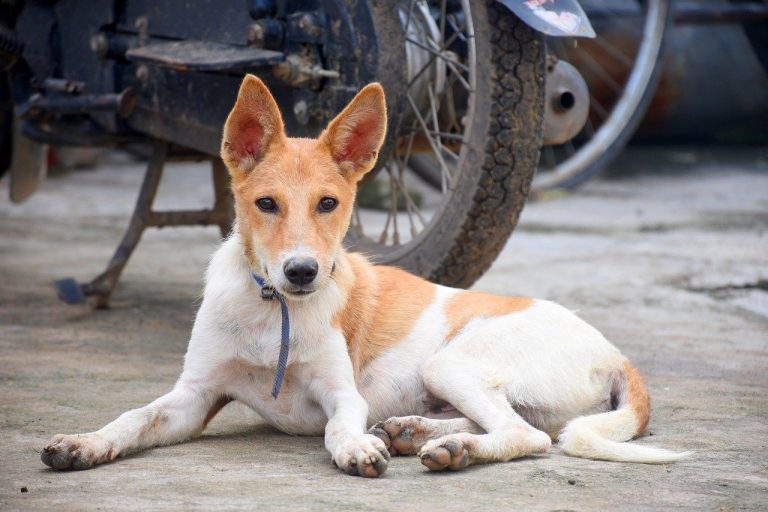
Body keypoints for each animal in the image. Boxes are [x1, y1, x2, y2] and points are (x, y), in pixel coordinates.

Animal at [40, 75, 688, 476]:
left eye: (329, 204)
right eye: (266, 204)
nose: (303, 271)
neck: (272, 310)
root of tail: (613, 351)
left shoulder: (341, 393)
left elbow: (338, 426)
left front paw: (354, 447)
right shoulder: (193, 398)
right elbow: (135, 416)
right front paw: (83, 444)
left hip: (452, 361)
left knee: (528, 437)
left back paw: (450, 448)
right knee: (522, 425)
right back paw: (416, 432)